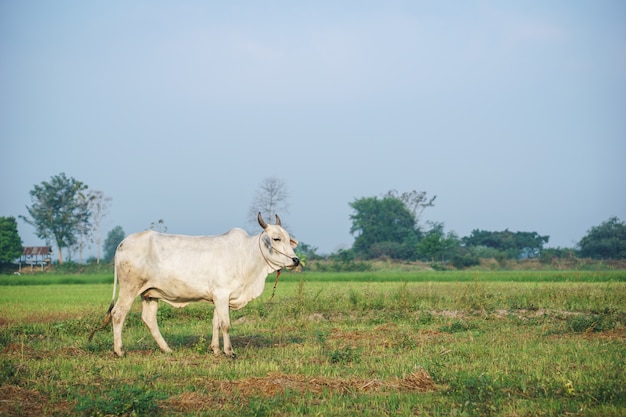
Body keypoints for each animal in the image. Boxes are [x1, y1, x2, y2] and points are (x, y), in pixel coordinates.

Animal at [88, 213, 300, 356]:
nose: (296, 260)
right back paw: (119, 351)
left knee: (149, 319)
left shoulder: (219, 297)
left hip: (149, 293)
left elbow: (216, 322)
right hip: (129, 288)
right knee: (118, 314)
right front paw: (229, 351)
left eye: (288, 238)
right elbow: (226, 324)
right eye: (276, 238)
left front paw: (215, 349)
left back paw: (167, 349)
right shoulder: (222, 294)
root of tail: (123, 242)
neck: (246, 256)